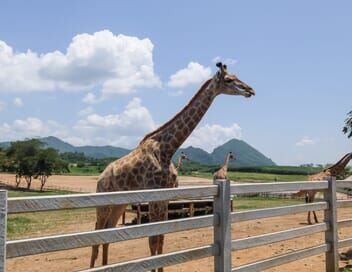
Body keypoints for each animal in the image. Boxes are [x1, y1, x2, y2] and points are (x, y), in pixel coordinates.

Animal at [88, 62, 254, 268]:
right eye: (229, 80)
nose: (250, 90)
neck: (167, 148)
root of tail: (101, 177)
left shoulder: (166, 195)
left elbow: (162, 238)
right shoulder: (153, 194)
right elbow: (153, 239)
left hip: (120, 202)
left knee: (108, 231)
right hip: (103, 201)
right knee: (97, 231)